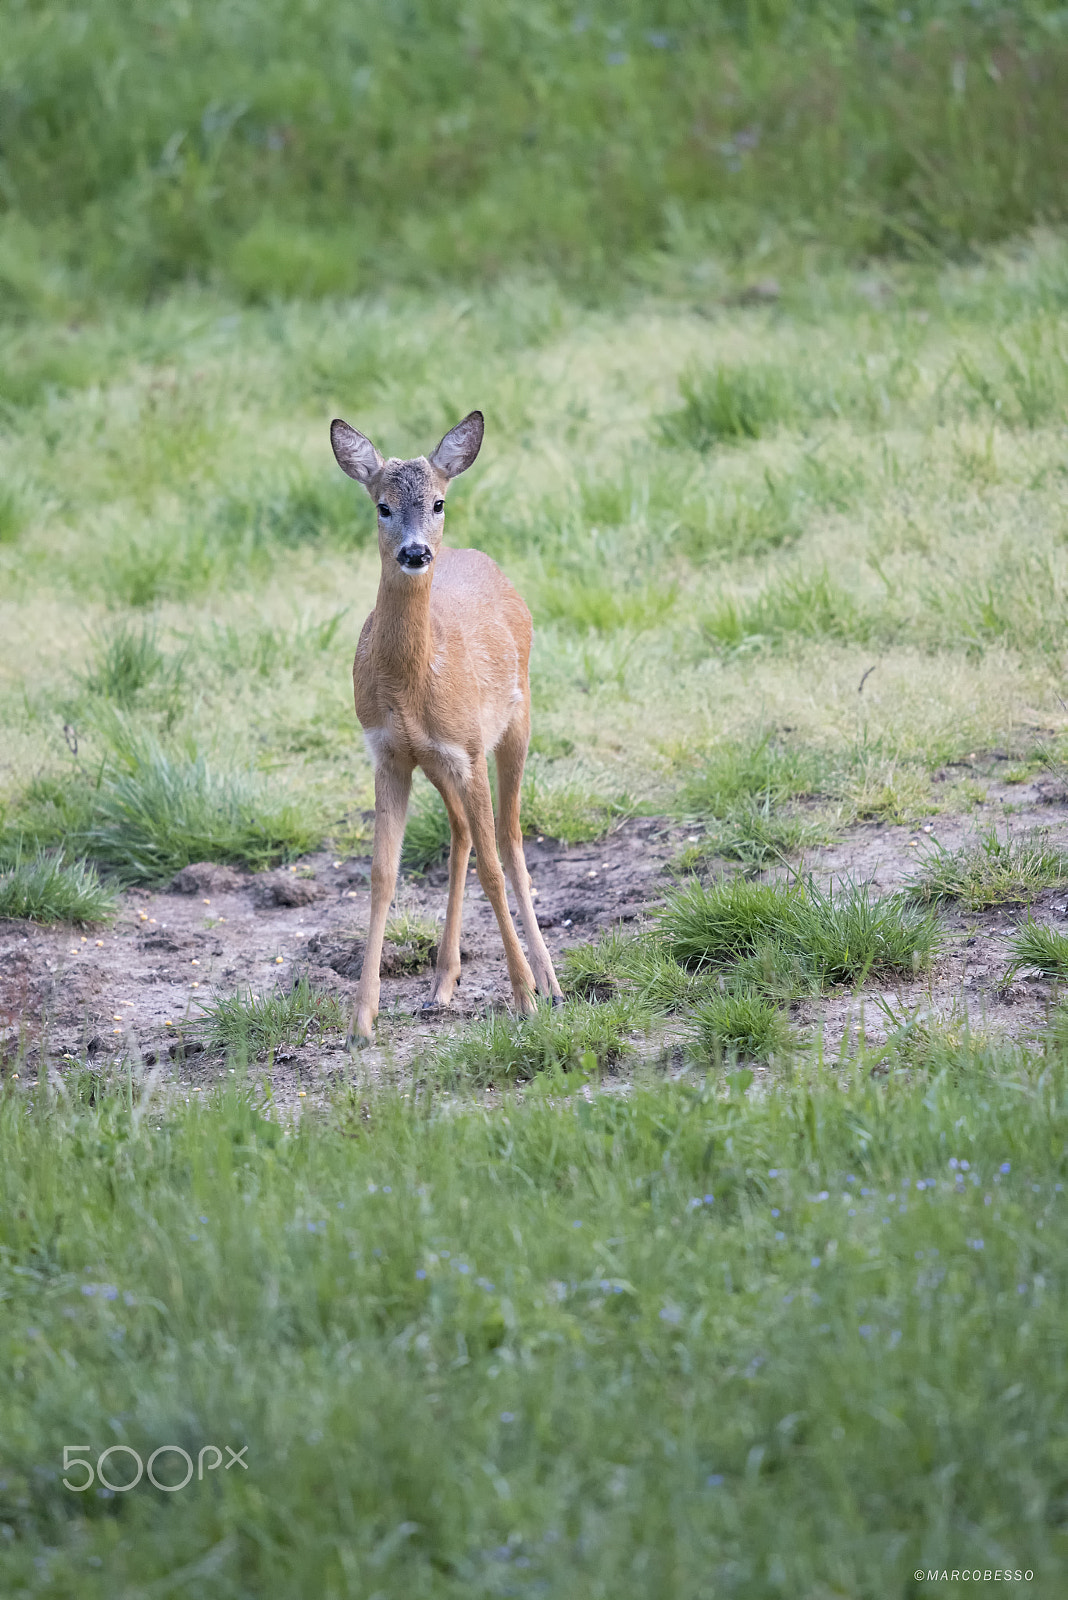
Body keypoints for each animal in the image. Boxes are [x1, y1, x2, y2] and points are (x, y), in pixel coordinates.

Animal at [330, 406, 565, 1043]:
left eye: (438, 501)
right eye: (382, 505)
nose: (415, 552)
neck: (412, 683)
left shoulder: (468, 748)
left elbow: (493, 868)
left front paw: (524, 998)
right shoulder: (389, 753)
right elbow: (382, 875)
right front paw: (361, 1020)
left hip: (516, 724)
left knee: (508, 840)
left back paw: (550, 983)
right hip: (435, 761)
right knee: (462, 833)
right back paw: (442, 983)